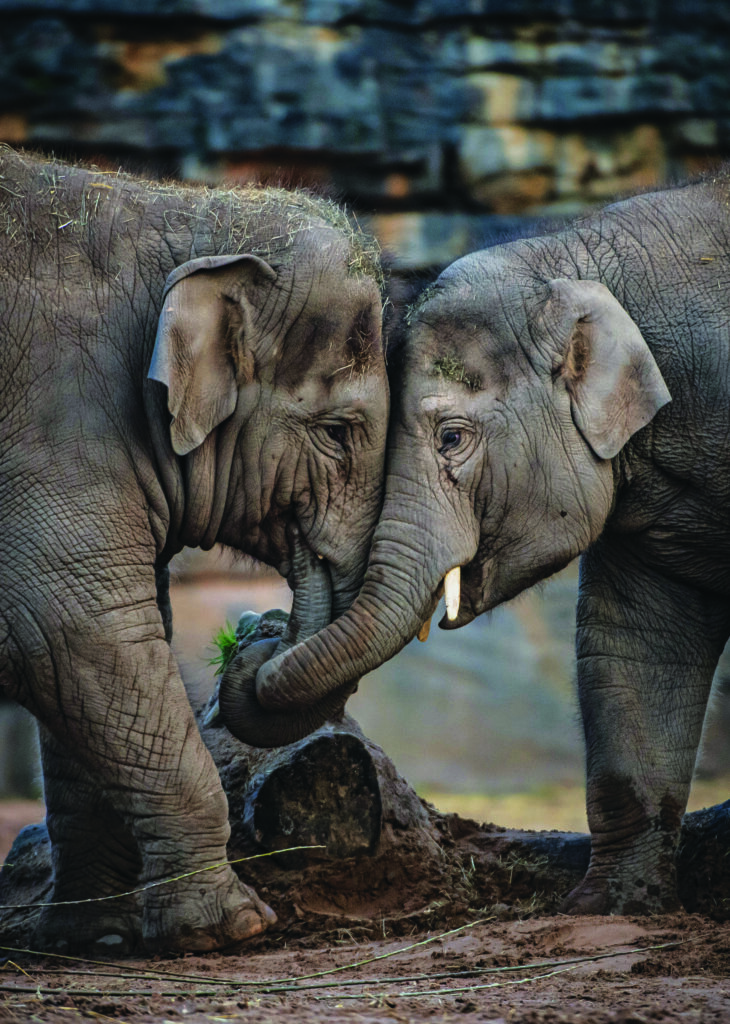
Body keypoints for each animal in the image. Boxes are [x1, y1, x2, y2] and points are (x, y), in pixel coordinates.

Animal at [0, 146, 388, 953]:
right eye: (338, 433)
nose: (259, 629)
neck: (183, 211)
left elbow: (100, 641)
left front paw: (97, 938)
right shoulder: (55, 425)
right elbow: (73, 629)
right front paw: (231, 928)